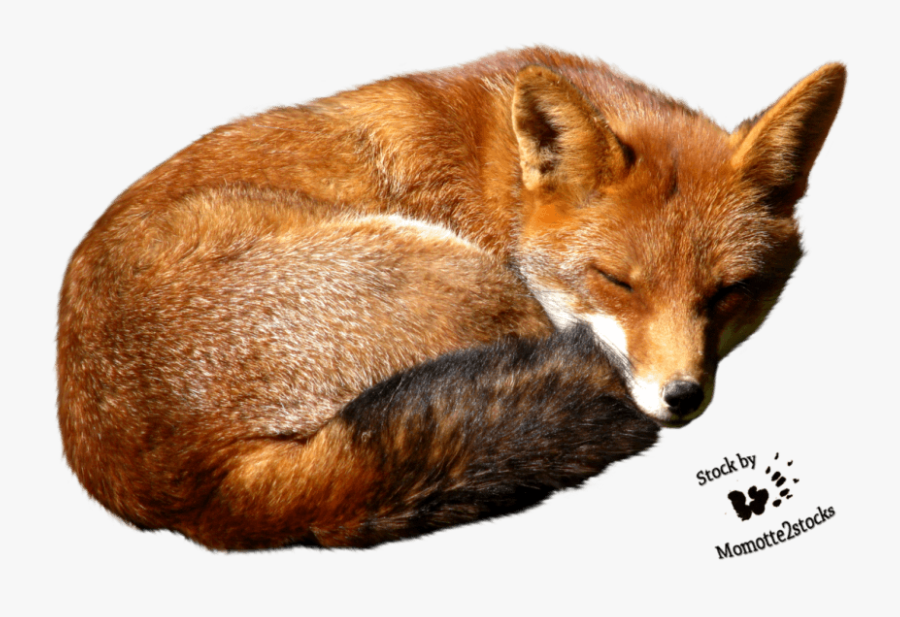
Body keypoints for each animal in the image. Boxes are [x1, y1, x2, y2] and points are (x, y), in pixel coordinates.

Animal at [57, 47, 845, 549]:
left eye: (731, 293)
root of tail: (192, 494)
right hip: (469, 280)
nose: (680, 396)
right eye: (617, 281)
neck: (502, 183)